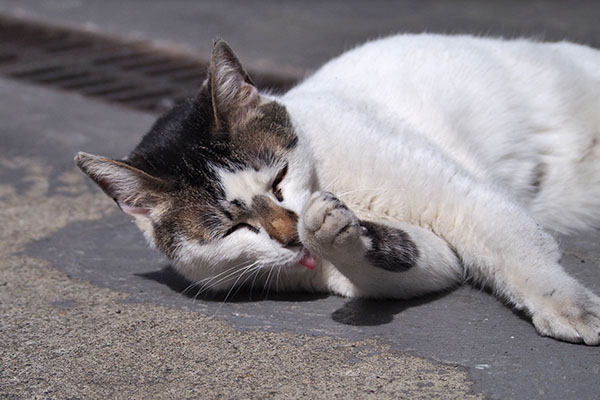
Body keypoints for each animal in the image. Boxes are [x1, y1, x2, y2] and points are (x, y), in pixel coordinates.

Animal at [75, 34, 600, 346]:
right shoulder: (416, 259)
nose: (290, 235)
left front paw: (570, 309)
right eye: (233, 228)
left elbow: (516, 250)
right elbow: (405, 257)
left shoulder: (456, 199)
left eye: (280, 179)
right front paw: (332, 230)